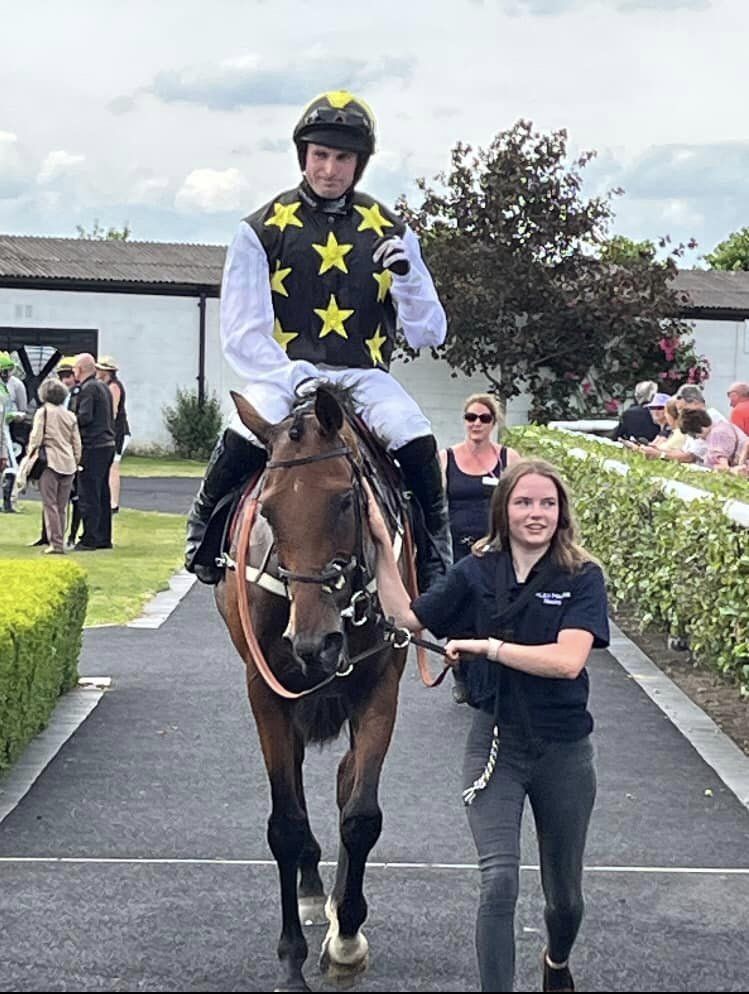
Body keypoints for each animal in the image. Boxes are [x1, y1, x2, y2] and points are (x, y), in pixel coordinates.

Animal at [216, 384, 414, 988]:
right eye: (269, 508)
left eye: (345, 501)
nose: (313, 642)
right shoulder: (265, 689)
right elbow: (285, 822)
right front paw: (291, 959)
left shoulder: (380, 684)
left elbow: (361, 814)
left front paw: (346, 939)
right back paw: (308, 884)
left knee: (347, 780)